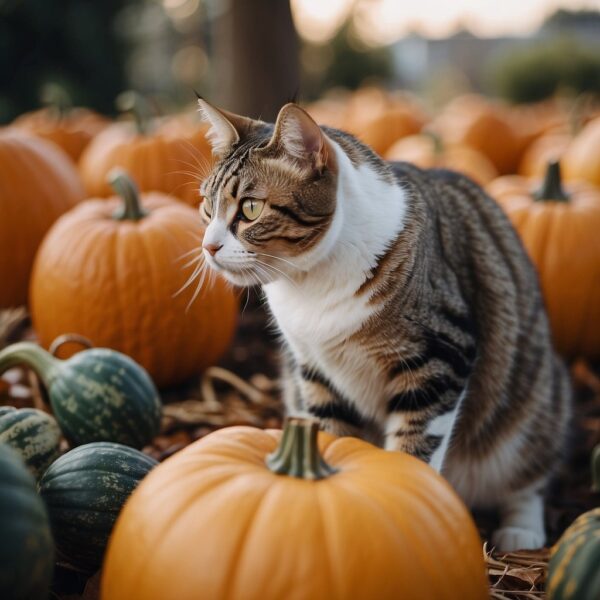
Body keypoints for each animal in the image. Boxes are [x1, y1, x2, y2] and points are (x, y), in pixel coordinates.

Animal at [197, 96, 572, 552]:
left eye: (250, 208)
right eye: (207, 207)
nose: (208, 246)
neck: (309, 284)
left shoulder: (439, 355)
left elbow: (416, 448)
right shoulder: (314, 370)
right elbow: (332, 434)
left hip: (535, 397)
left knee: (530, 471)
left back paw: (522, 529)